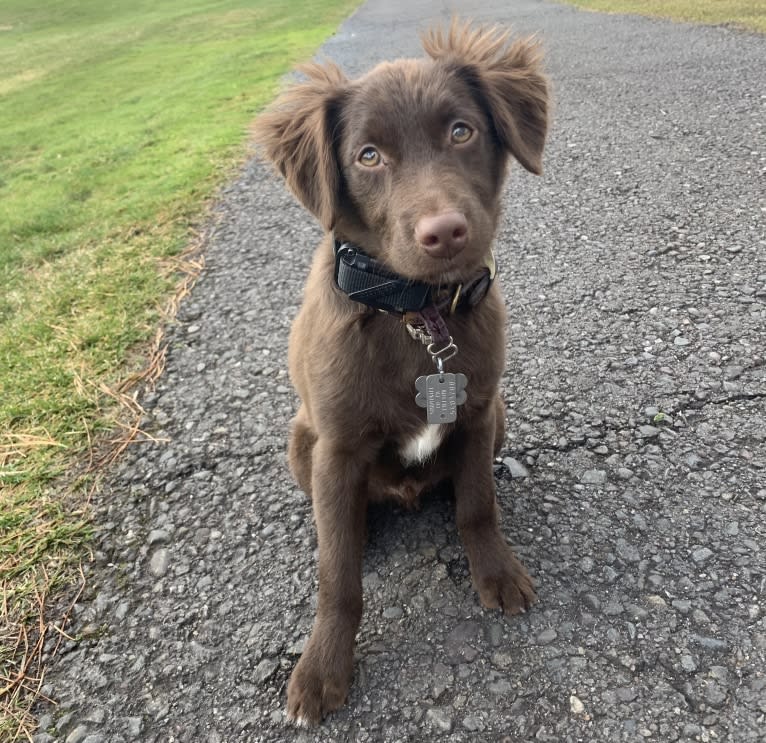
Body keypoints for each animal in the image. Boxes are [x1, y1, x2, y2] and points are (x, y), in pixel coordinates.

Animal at [255, 20, 548, 724]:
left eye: (462, 131)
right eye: (368, 157)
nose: (445, 233)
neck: (417, 313)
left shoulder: (477, 412)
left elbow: (477, 506)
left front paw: (497, 573)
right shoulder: (336, 448)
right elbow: (337, 578)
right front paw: (323, 670)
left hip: (498, 416)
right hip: (301, 443)